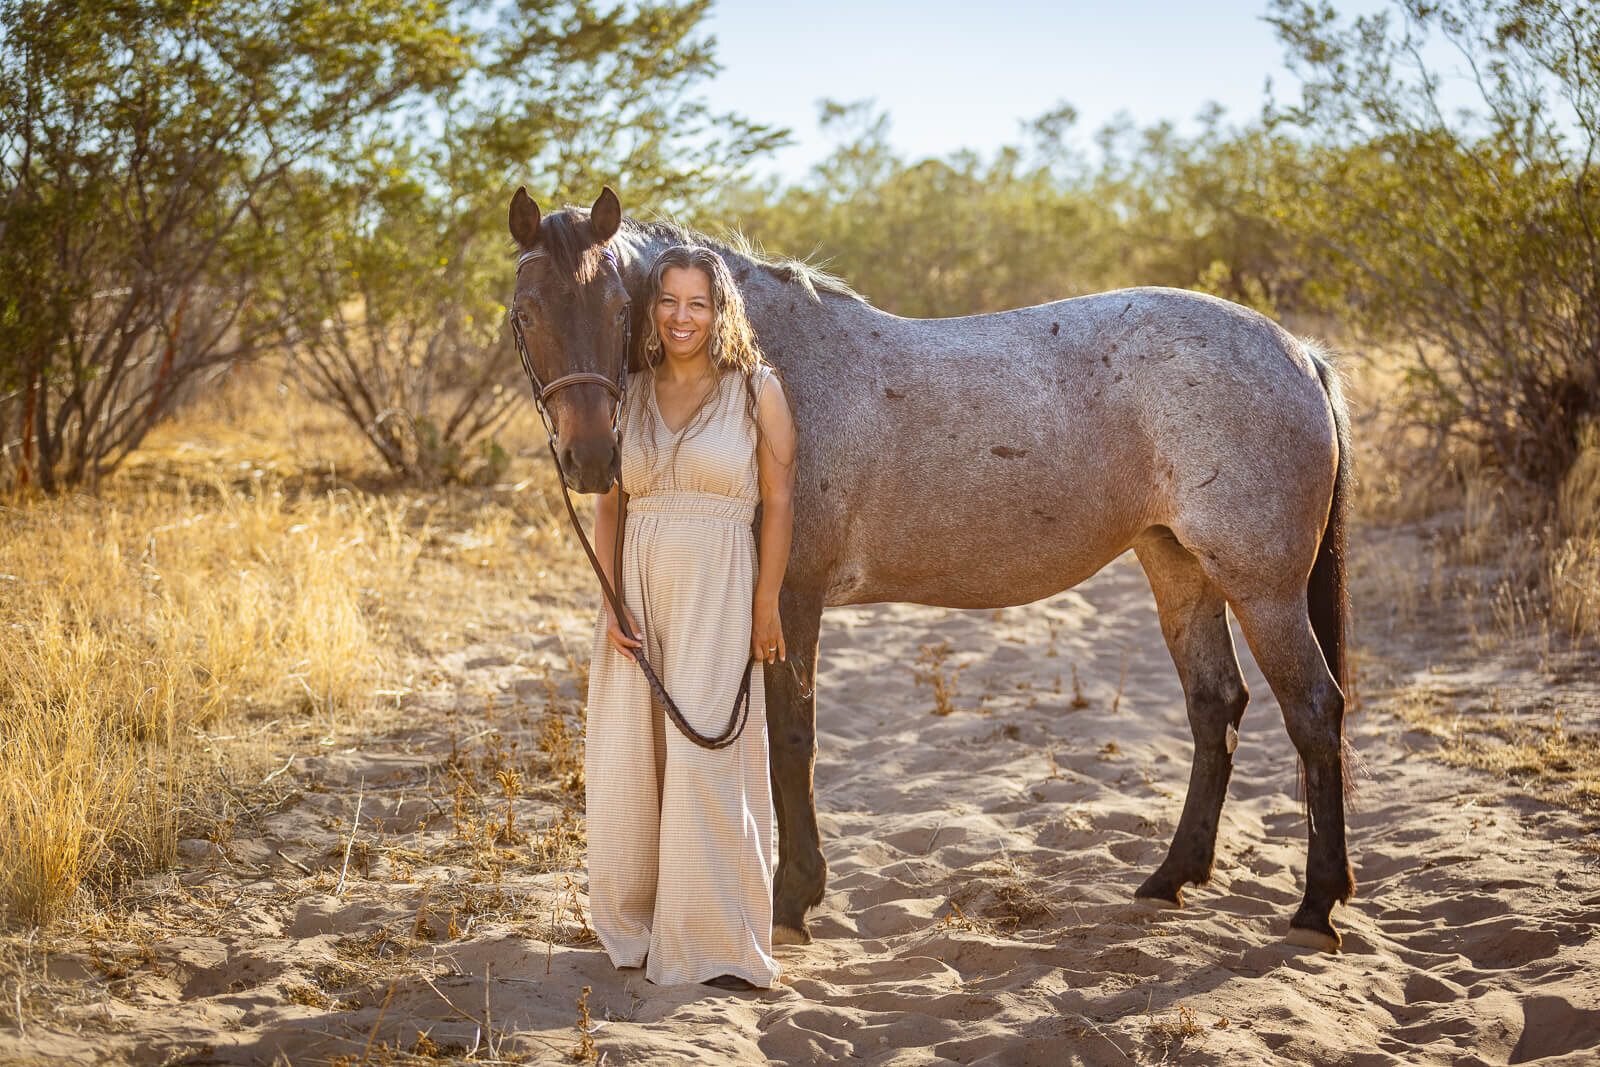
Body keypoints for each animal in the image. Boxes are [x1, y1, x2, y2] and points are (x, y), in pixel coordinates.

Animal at [505, 183, 1356, 953]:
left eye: (621, 311)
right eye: (527, 313)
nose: (590, 458)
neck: (772, 366)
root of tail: (1299, 354)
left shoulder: (788, 596)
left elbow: (791, 741)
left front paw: (793, 900)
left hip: (1263, 589)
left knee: (1314, 710)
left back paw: (1318, 903)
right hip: (1177, 565)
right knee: (1216, 705)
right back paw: (1170, 876)